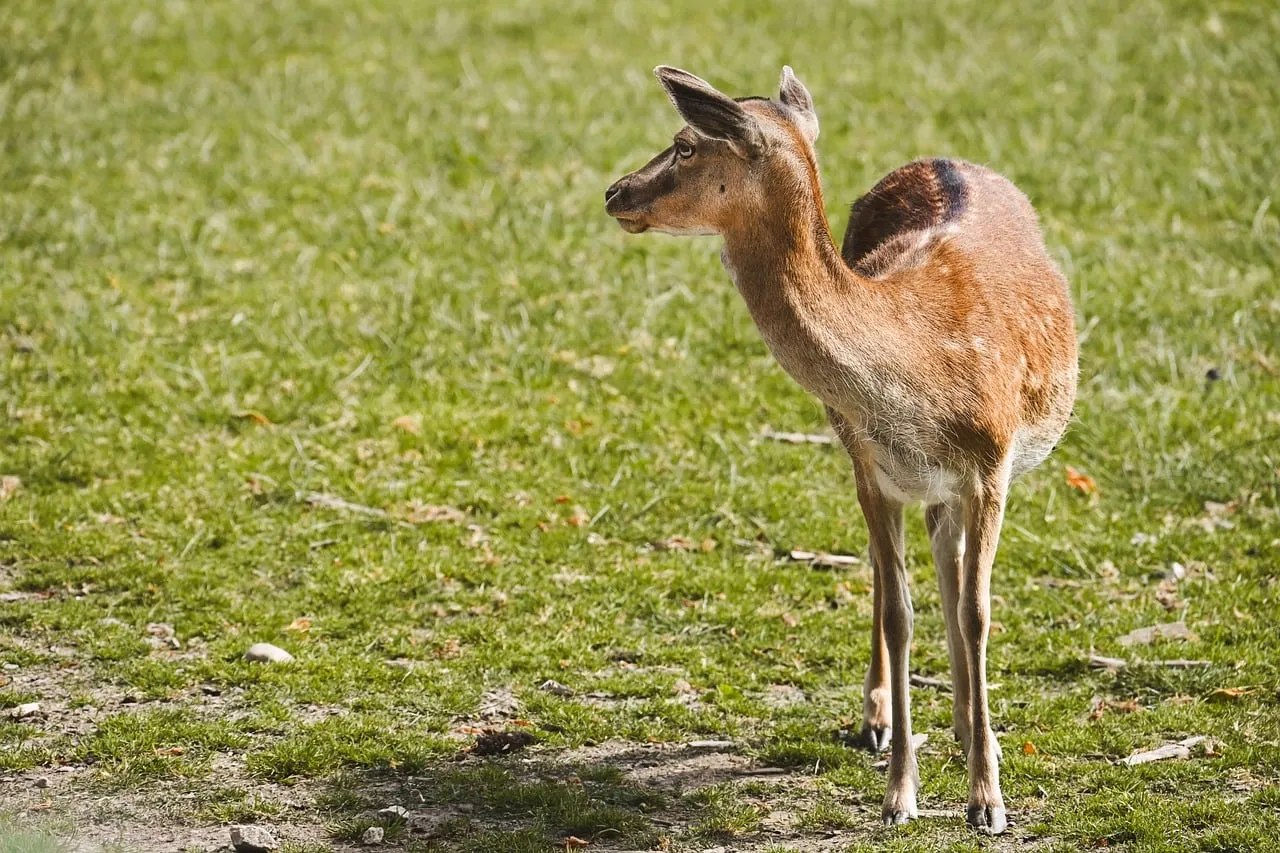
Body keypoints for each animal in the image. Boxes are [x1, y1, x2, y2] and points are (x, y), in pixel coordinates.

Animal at [604, 66, 1078, 834]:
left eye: (684, 144)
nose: (615, 192)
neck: (920, 370)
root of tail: (939, 158)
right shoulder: (872, 470)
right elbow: (900, 611)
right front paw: (899, 796)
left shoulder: (992, 463)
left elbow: (976, 613)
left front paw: (987, 799)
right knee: (900, 576)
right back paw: (887, 721)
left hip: (955, 482)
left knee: (949, 568)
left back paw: (969, 730)